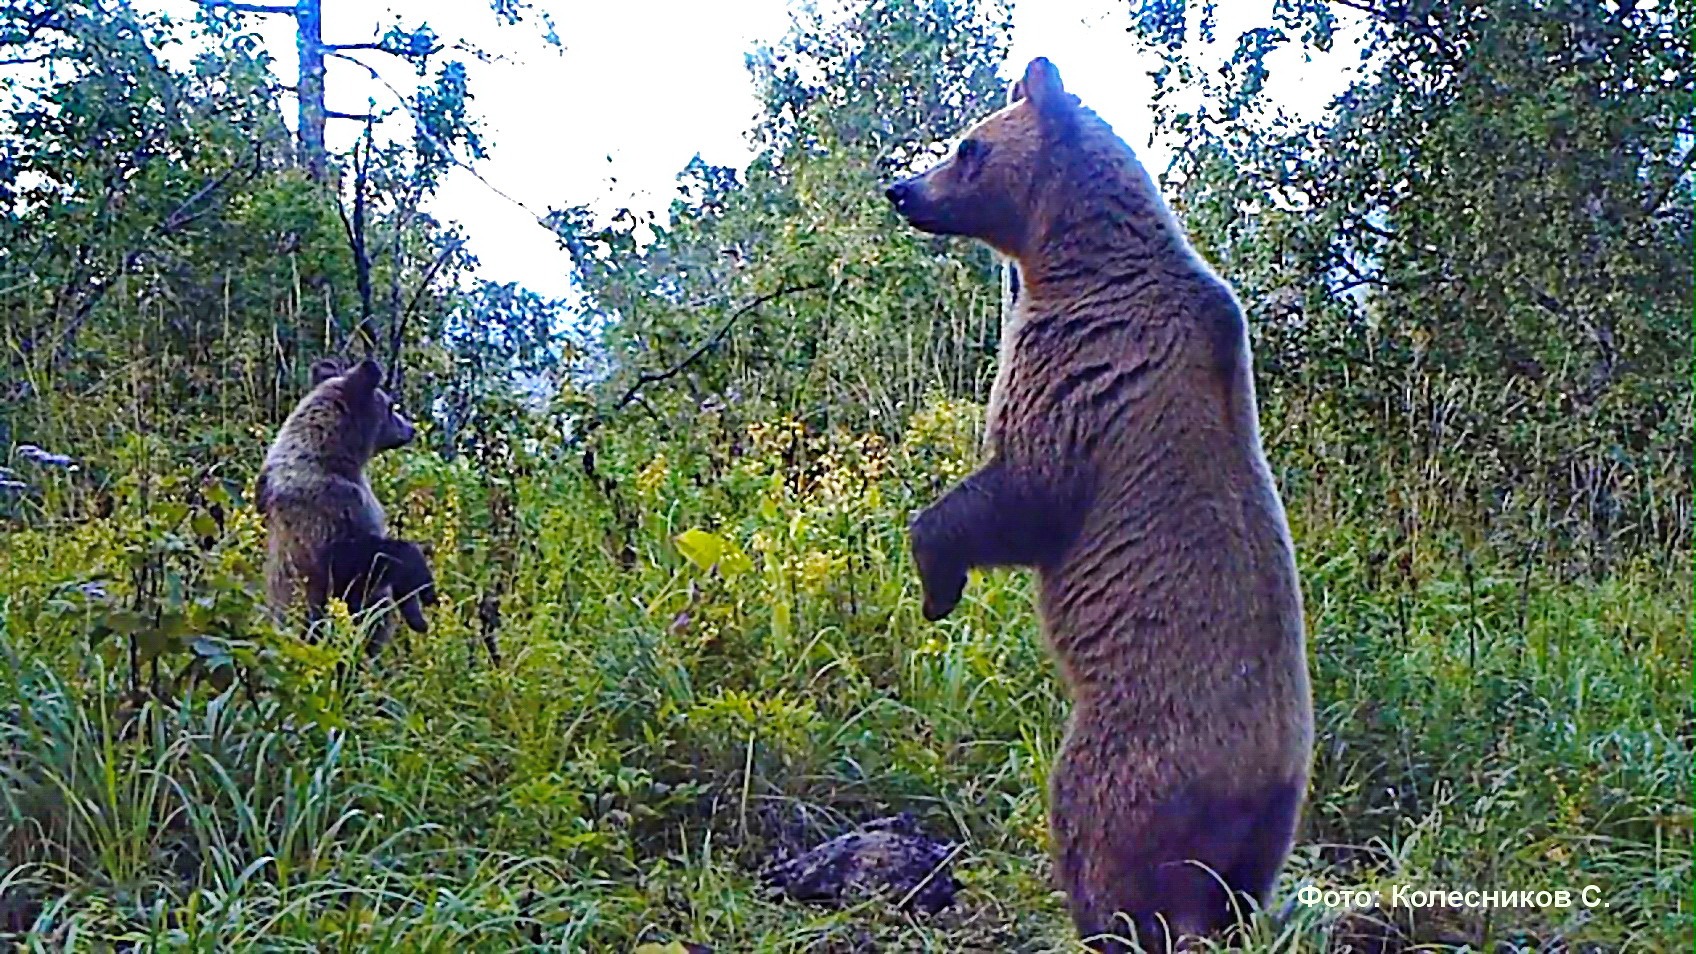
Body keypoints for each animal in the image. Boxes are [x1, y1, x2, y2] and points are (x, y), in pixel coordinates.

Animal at [888, 57, 1309, 943]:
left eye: (968, 147)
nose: (903, 189)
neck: (1071, 258)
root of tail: (1254, 788)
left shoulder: (1083, 373)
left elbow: (1023, 492)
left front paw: (937, 583)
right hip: (1274, 829)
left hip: (1135, 757)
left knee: (1094, 831)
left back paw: (1100, 922)